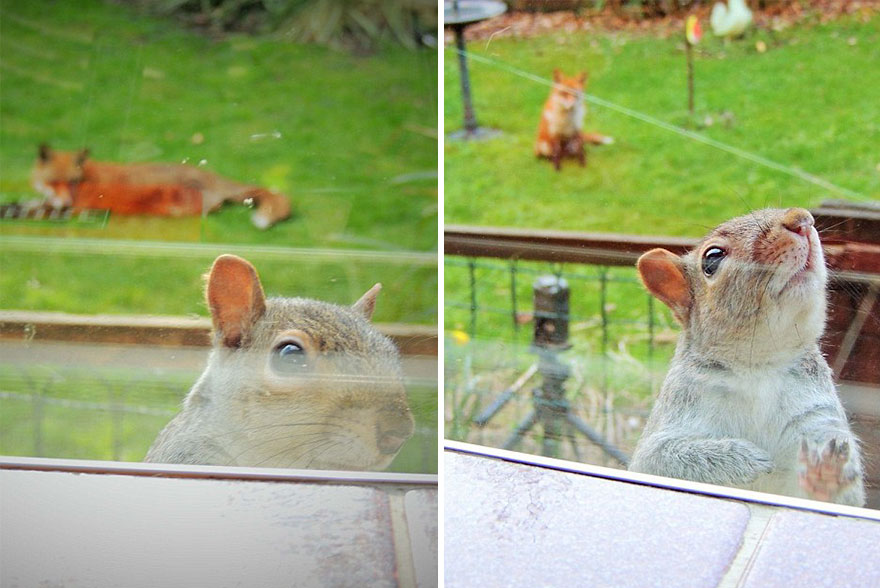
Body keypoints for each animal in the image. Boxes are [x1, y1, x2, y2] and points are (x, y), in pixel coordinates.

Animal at [31, 144, 291, 229]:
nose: (65, 200)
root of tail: (211, 175)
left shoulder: (75, 209)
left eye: (72, 182)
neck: (87, 178)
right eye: (53, 181)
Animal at [629, 208, 865, 507]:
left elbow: (842, 496)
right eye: (712, 258)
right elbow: (662, 458)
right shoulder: (673, 417)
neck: (757, 365)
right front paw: (745, 458)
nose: (801, 219)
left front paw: (826, 471)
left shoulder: (815, 416)